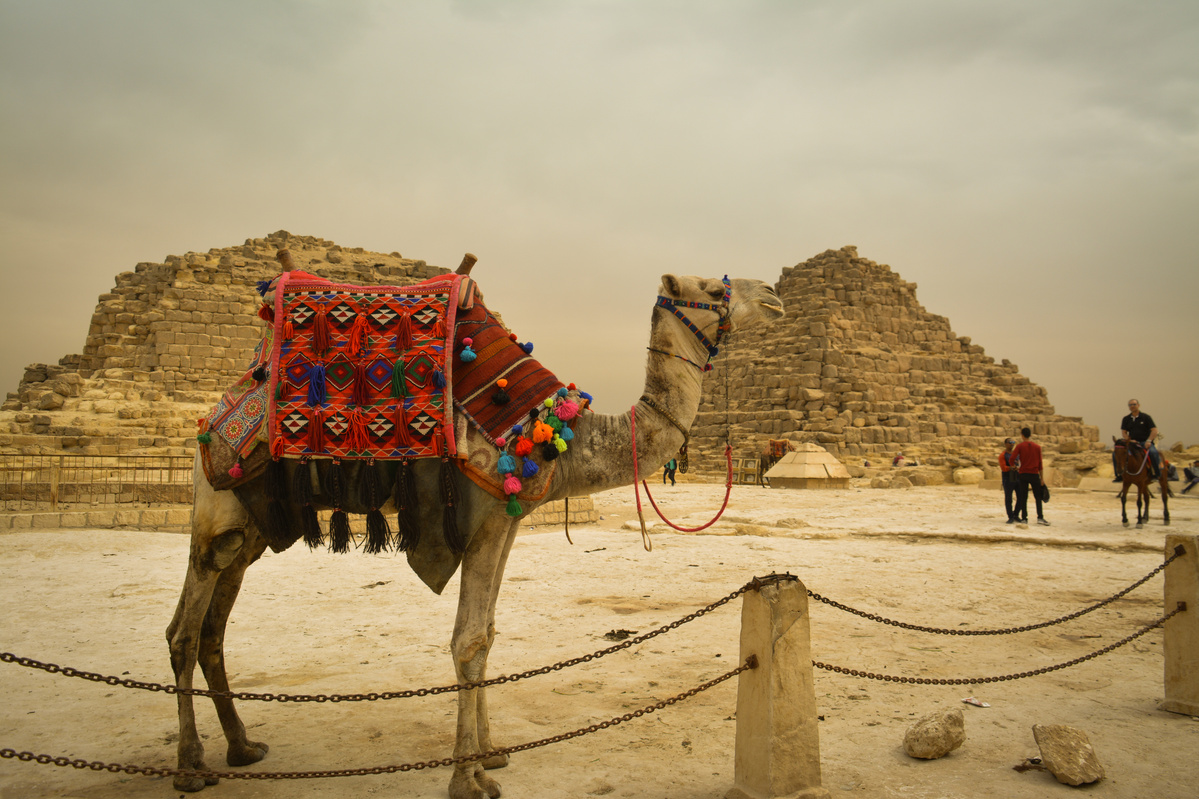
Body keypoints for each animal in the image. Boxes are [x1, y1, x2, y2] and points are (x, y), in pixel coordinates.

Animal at [169, 266, 786, 791]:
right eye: (714, 287)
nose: (775, 295)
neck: (563, 438)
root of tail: (217, 414)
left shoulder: (504, 525)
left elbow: (487, 634)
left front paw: (492, 753)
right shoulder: (485, 519)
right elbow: (467, 642)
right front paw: (468, 778)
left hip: (250, 530)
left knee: (213, 631)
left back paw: (243, 748)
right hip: (214, 510)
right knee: (182, 632)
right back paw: (191, 766)